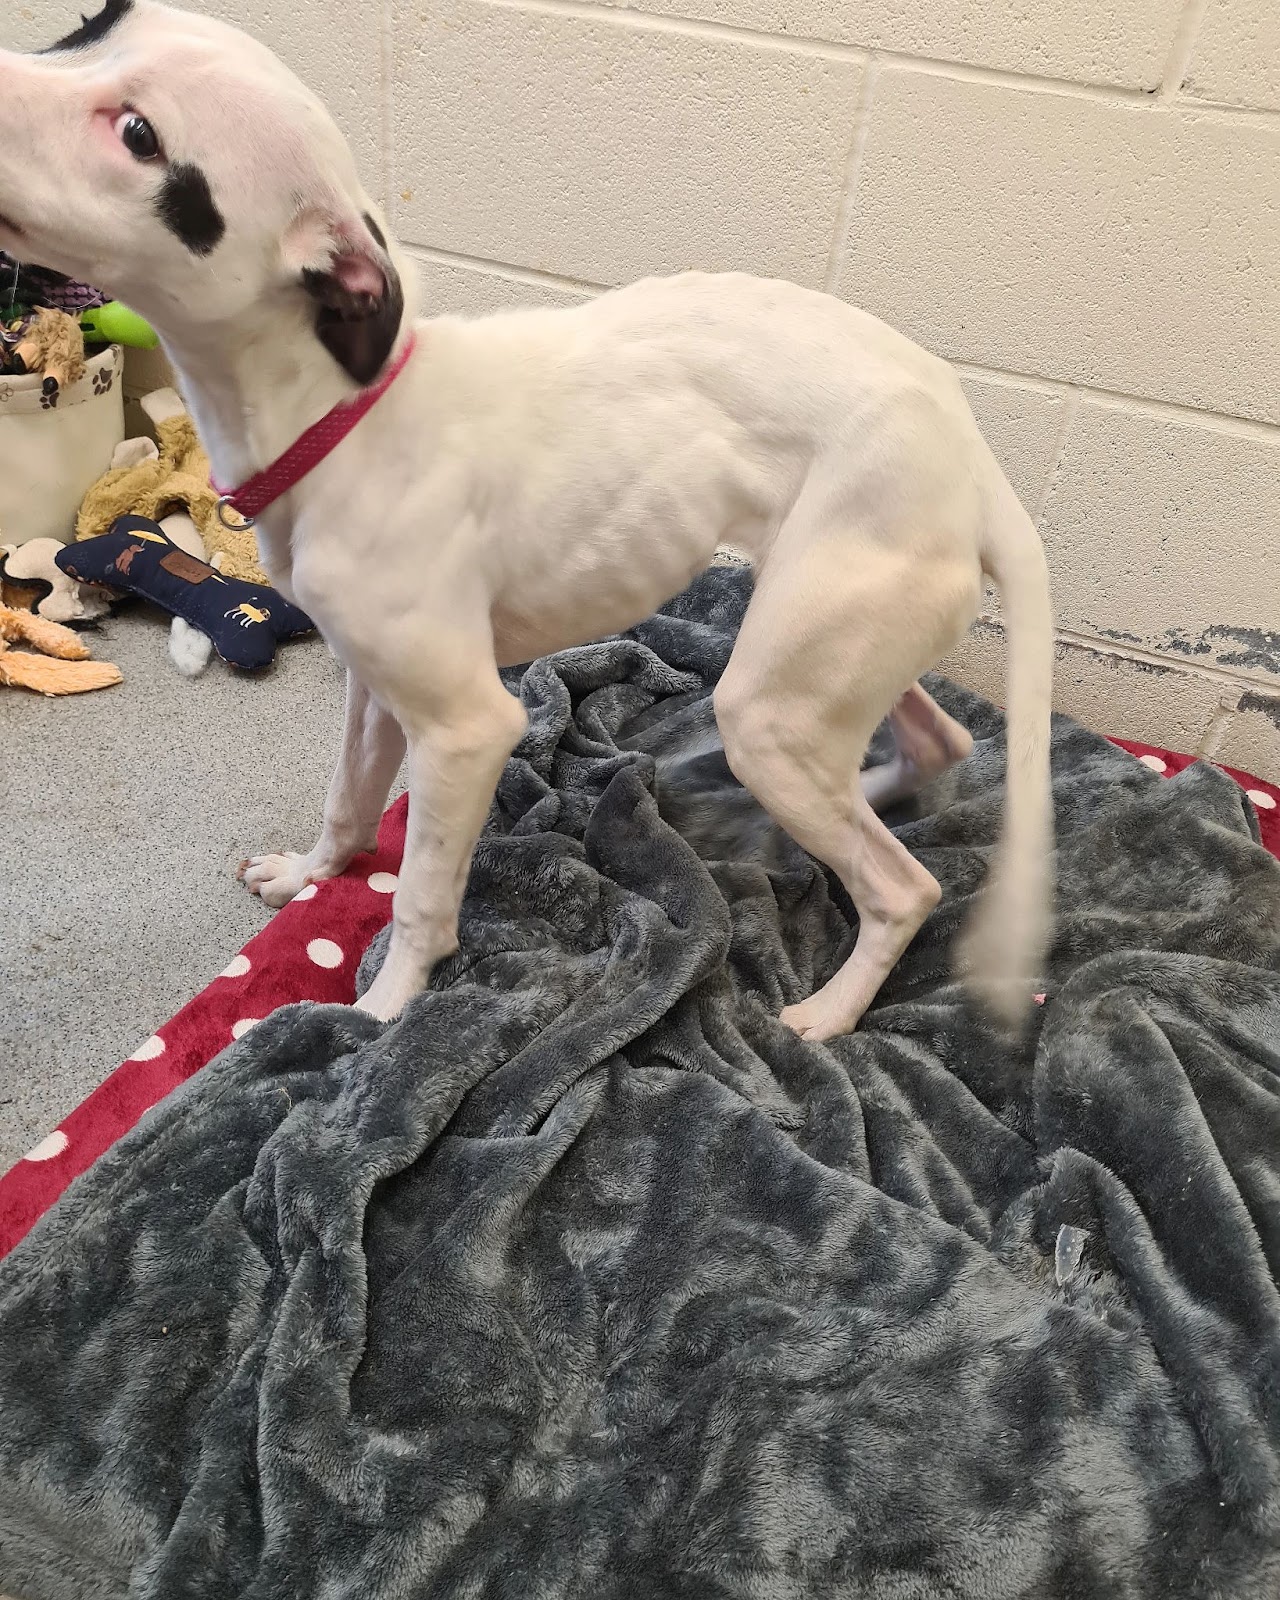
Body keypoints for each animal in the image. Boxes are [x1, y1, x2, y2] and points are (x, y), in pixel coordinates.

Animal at [0, 1, 1054, 1039]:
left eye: (140, 135)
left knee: (903, 886)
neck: (340, 414)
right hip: (828, 666)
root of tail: (971, 462)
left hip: (774, 701)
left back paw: (827, 1011)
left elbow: (420, 894)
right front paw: (308, 875)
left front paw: (383, 1019)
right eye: (82, 27)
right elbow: (348, 802)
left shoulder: (468, 730)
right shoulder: (373, 690)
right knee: (934, 746)